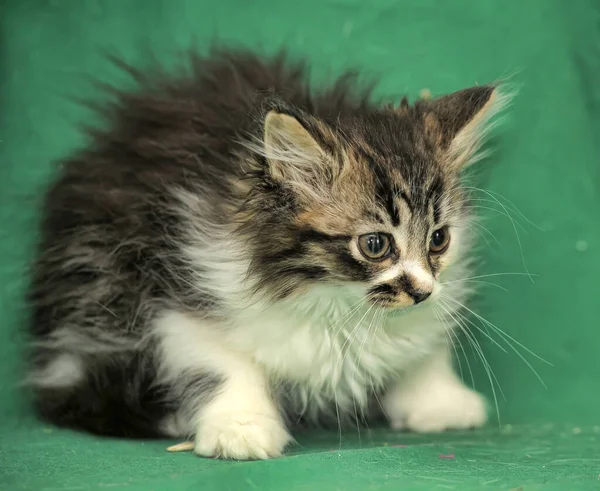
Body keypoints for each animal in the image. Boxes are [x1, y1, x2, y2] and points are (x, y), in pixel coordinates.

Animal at [27, 48, 506, 460]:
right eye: (376, 245)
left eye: (439, 239)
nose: (423, 291)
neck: (336, 304)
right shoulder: (183, 291)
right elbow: (223, 364)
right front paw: (240, 427)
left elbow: (427, 347)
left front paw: (441, 402)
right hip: (99, 287)